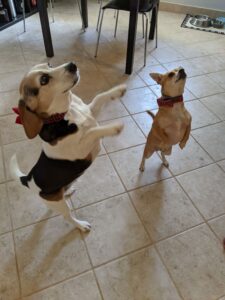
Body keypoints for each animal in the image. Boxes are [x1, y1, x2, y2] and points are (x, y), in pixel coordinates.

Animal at [9, 62, 126, 232]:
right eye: (44, 80)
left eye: (49, 65)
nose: (72, 65)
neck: (67, 113)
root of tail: (28, 179)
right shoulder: (82, 149)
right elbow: (92, 131)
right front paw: (114, 128)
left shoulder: (90, 111)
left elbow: (99, 97)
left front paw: (118, 90)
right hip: (59, 205)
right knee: (67, 217)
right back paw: (81, 225)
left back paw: (68, 190)